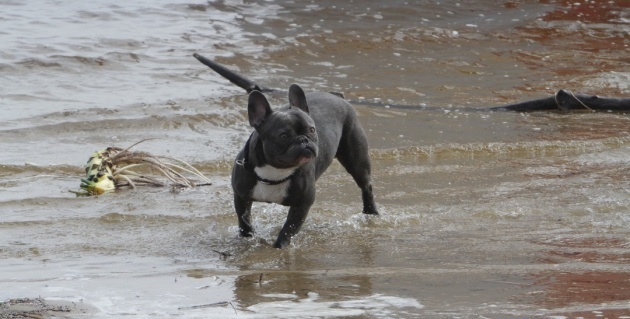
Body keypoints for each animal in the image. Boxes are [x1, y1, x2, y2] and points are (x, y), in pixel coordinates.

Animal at [233, 84, 378, 249]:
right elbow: (244, 220)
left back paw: (371, 212)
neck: (275, 172)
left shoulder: (302, 204)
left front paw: (280, 246)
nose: (304, 140)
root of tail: (336, 96)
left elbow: (288, 228)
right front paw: (247, 237)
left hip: (357, 162)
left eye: (312, 130)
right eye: (283, 136)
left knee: (366, 186)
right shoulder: (241, 197)